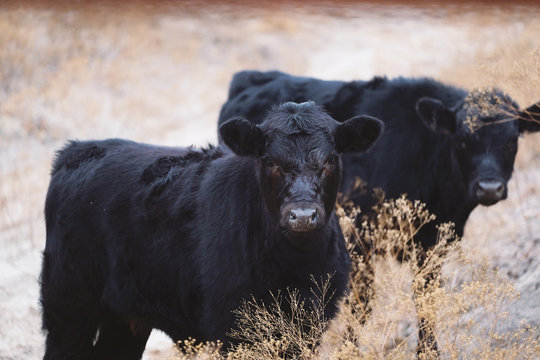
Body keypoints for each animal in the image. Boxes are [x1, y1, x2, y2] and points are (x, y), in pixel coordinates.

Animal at [218, 71, 540, 358]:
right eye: (462, 139)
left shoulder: (434, 242)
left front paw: (428, 351)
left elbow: (426, 297)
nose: (489, 188)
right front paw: (350, 350)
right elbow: (361, 303)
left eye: (512, 141)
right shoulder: (360, 237)